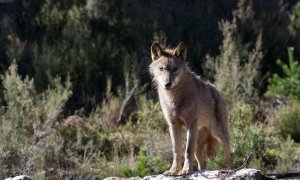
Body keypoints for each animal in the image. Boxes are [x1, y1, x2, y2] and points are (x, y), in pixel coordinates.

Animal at [149, 41, 233, 174]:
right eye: (161, 69)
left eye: (174, 69)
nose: (167, 84)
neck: (174, 98)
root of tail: (218, 92)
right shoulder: (173, 125)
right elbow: (176, 151)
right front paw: (173, 171)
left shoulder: (191, 124)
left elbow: (188, 151)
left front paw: (185, 170)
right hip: (199, 144)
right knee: (202, 164)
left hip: (219, 133)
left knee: (229, 154)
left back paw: (230, 170)